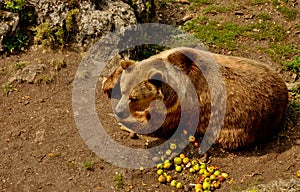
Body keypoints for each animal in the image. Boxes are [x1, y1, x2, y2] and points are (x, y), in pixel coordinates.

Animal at [102, 47, 288, 149]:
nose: (119, 111)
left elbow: (155, 123)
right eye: (124, 91)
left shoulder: (183, 107)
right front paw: (109, 83)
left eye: (134, 98)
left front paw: (126, 122)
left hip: (239, 128)